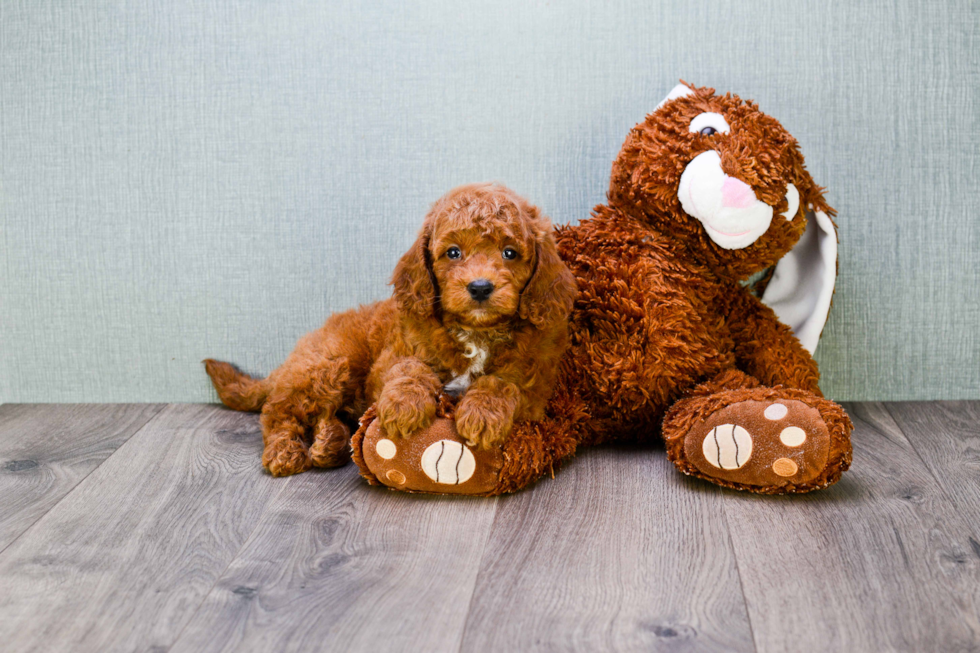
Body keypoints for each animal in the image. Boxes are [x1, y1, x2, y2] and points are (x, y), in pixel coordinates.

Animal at [204, 181, 580, 476]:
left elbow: (503, 382)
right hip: (328, 366)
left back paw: (329, 441)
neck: (476, 331)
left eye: (510, 253)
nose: (480, 287)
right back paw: (286, 451)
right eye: (453, 253)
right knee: (277, 413)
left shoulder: (537, 382)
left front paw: (482, 414)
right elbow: (409, 368)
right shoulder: (392, 357)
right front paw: (404, 406)